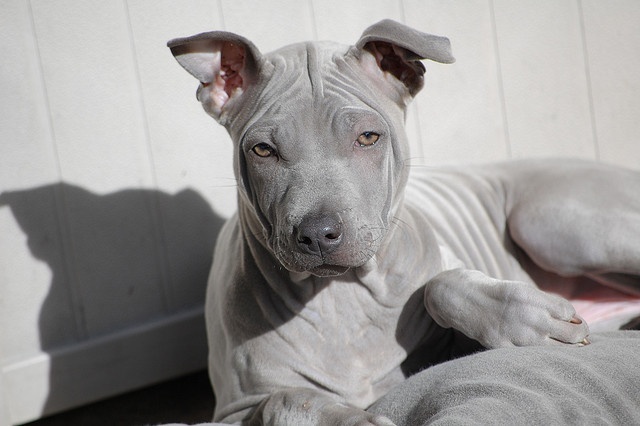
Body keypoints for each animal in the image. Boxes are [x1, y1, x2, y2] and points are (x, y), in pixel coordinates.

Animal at [169, 20, 640, 426]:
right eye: (263, 151)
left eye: (368, 138)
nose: (318, 234)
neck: (340, 295)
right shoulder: (232, 412)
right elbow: (284, 400)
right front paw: (357, 420)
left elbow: (442, 286)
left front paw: (537, 324)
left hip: (550, 225)